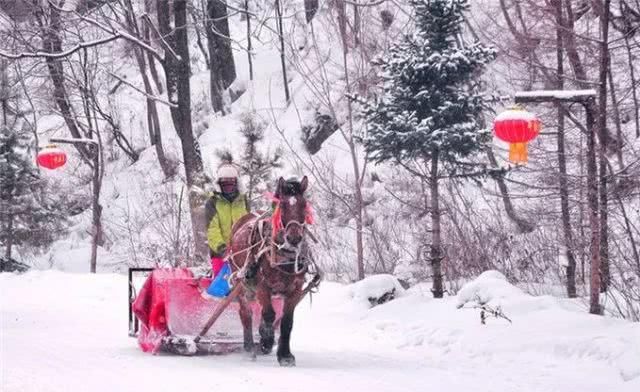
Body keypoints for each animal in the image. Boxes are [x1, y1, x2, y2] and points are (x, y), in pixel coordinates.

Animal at [229, 176, 320, 366]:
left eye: (304, 204)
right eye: (283, 205)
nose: (294, 238)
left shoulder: (295, 289)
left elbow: (286, 321)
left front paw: (285, 355)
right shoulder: (262, 286)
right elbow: (269, 315)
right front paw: (266, 340)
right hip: (241, 282)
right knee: (246, 313)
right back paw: (249, 347)